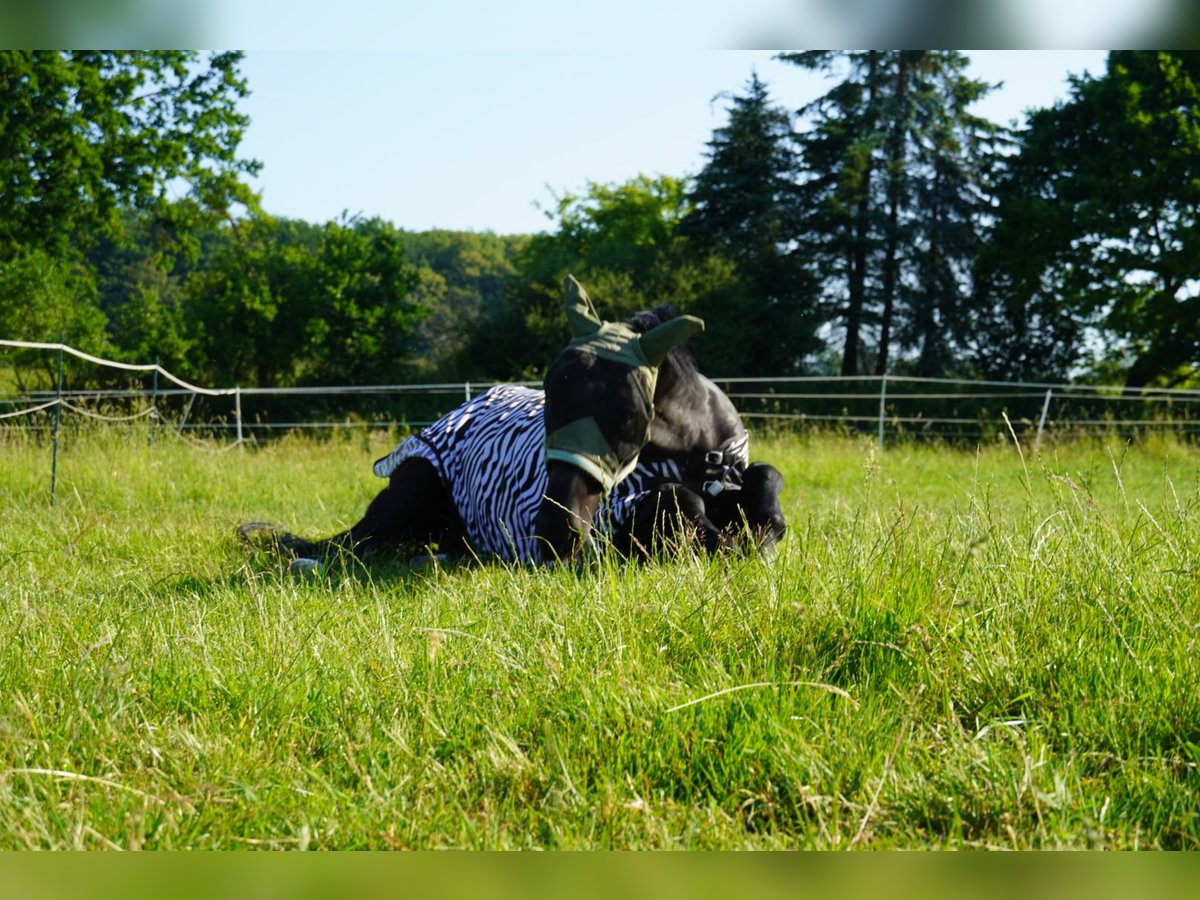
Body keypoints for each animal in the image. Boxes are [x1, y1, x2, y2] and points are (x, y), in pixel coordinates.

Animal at [242, 278, 787, 566]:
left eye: (628, 412)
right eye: (548, 397)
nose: (553, 534)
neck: (706, 461)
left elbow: (765, 478)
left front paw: (763, 526)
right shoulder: (620, 516)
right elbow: (678, 505)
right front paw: (730, 538)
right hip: (407, 495)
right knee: (350, 546)